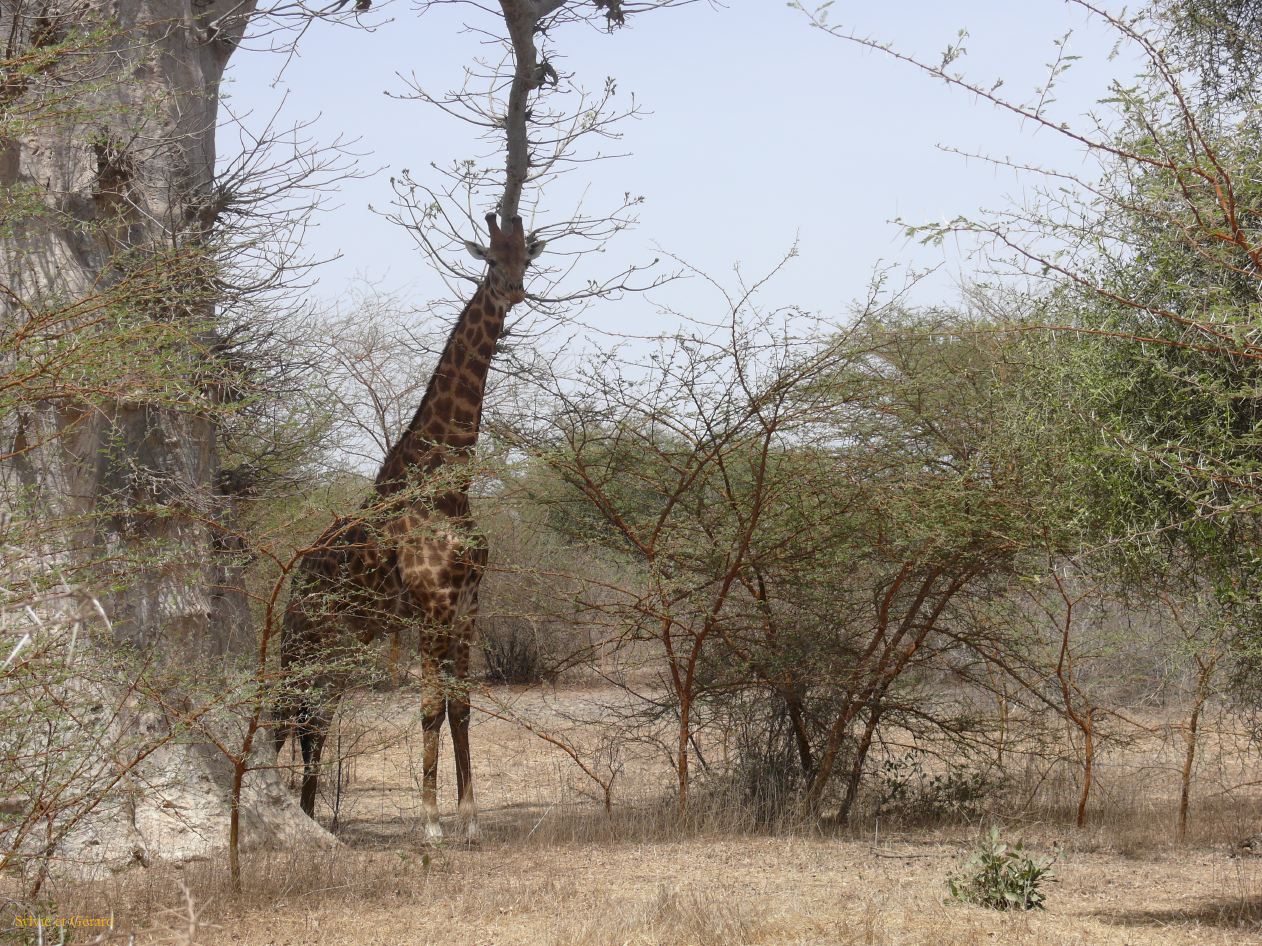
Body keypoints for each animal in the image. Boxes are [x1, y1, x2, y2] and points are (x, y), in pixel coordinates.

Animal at [273, 213, 545, 841]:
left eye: (526, 256)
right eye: (490, 258)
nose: (513, 290)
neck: (448, 485)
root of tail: (300, 574)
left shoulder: (468, 603)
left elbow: (461, 707)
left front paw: (470, 821)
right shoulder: (432, 603)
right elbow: (428, 709)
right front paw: (431, 825)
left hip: (340, 644)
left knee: (316, 717)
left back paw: (311, 816)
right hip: (301, 637)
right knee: (281, 714)